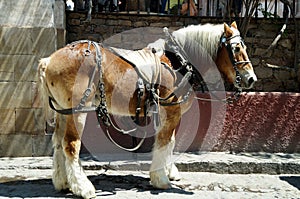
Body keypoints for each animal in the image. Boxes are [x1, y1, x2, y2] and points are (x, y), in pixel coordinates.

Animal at [38, 21, 258, 198]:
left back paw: (63, 182)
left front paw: (169, 171)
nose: (251, 79)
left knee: (58, 143)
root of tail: (49, 60)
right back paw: (83, 187)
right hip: (77, 110)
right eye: (236, 48)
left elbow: (170, 142)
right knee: (70, 145)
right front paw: (161, 178)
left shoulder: (167, 112)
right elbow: (164, 142)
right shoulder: (172, 111)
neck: (178, 62)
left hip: (63, 111)